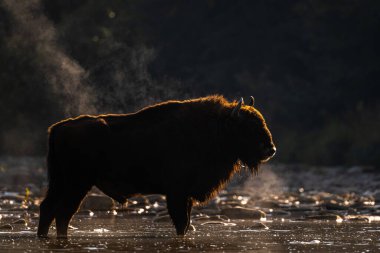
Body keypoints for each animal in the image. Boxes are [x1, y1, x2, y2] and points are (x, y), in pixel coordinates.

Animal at [37, 94, 276, 237]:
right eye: (248, 126)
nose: (270, 149)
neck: (214, 129)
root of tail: (57, 129)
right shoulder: (177, 194)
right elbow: (181, 222)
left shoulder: (186, 196)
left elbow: (186, 222)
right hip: (76, 184)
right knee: (62, 213)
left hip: (62, 183)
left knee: (50, 210)